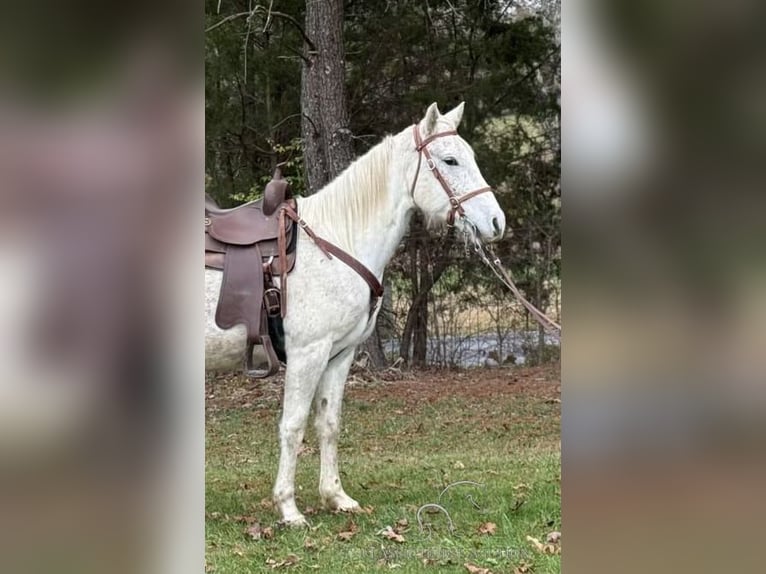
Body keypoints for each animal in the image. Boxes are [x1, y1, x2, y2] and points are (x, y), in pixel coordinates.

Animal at [207, 102, 508, 528]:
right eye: (450, 160)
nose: (496, 223)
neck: (336, 239)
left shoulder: (339, 355)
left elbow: (328, 424)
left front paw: (336, 497)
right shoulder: (308, 353)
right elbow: (293, 426)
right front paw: (289, 509)